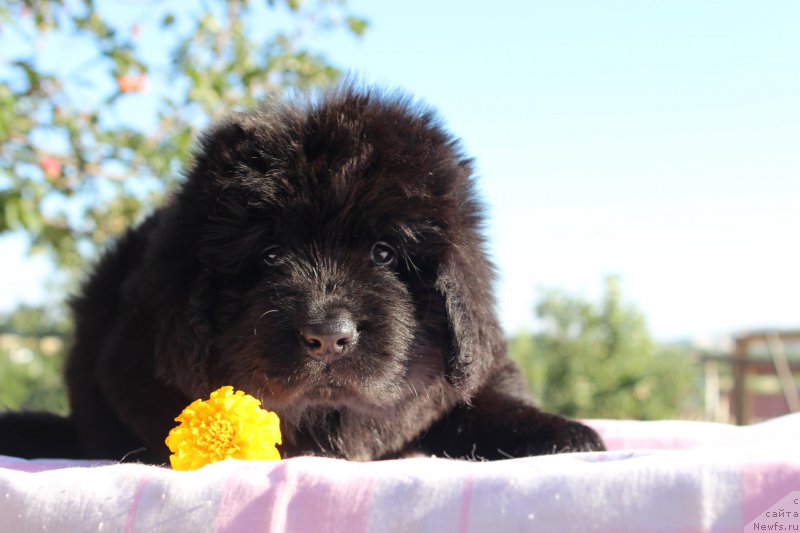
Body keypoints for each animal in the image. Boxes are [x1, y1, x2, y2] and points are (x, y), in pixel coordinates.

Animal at [0, 85, 604, 460]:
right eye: (269, 256)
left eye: (384, 254)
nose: (327, 337)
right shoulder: (129, 370)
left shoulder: (473, 369)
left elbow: (488, 400)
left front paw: (566, 435)